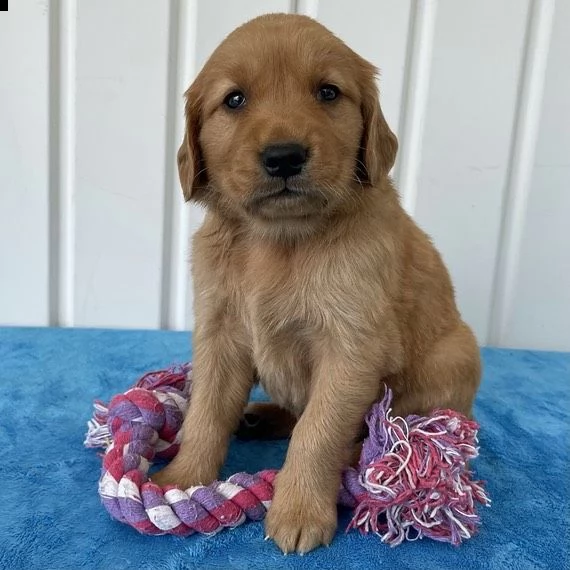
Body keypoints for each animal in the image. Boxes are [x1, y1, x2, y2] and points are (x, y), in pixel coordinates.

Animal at [153, 12, 478, 552]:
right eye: (234, 99)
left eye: (328, 92)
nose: (284, 156)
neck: (279, 241)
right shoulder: (219, 333)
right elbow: (206, 412)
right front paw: (181, 479)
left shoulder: (352, 348)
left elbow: (318, 430)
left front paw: (300, 508)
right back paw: (260, 416)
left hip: (455, 356)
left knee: (386, 432)